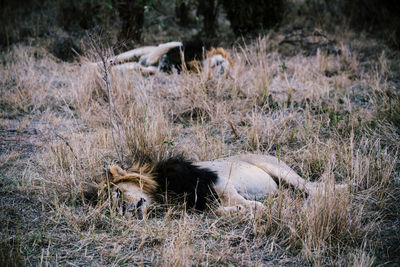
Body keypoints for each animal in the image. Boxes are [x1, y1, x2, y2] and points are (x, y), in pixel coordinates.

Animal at [92, 40, 233, 77]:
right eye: (220, 63)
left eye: (223, 71)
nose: (220, 71)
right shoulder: (185, 47)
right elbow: (173, 53)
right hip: (138, 52)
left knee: (131, 67)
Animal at [99, 154, 344, 219]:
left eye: (118, 193)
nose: (124, 211)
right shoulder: (202, 203)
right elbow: (218, 209)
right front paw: (240, 211)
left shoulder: (216, 180)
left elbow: (235, 198)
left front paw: (256, 209)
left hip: (283, 173)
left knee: (314, 188)